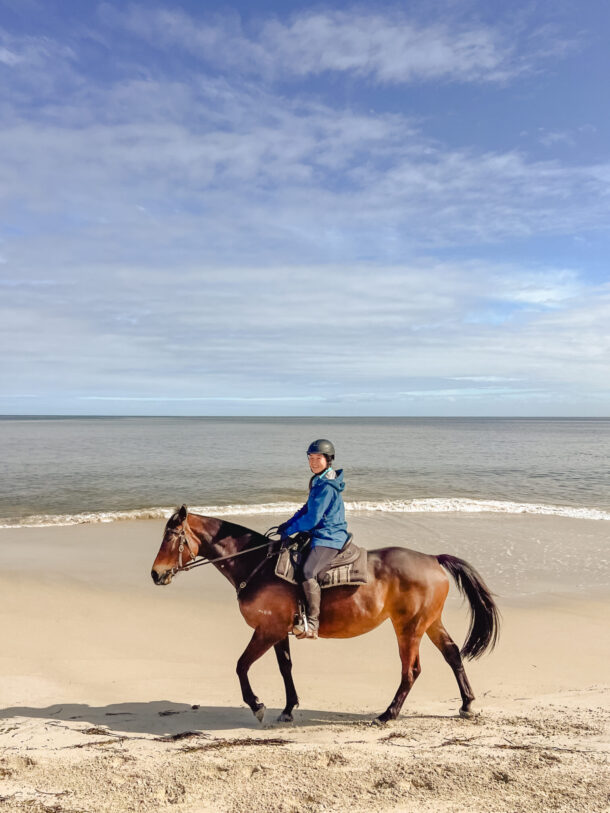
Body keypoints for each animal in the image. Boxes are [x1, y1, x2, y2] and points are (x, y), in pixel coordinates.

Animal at [151, 505, 499, 726]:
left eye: (171, 537)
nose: (156, 574)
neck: (257, 565)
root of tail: (432, 558)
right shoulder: (277, 630)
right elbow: (285, 668)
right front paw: (288, 708)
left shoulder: (266, 630)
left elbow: (241, 666)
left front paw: (257, 705)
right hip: (429, 622)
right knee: (452, 654)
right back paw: (467, 703)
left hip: (408, 627)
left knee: (411, 670)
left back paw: (388, 714)